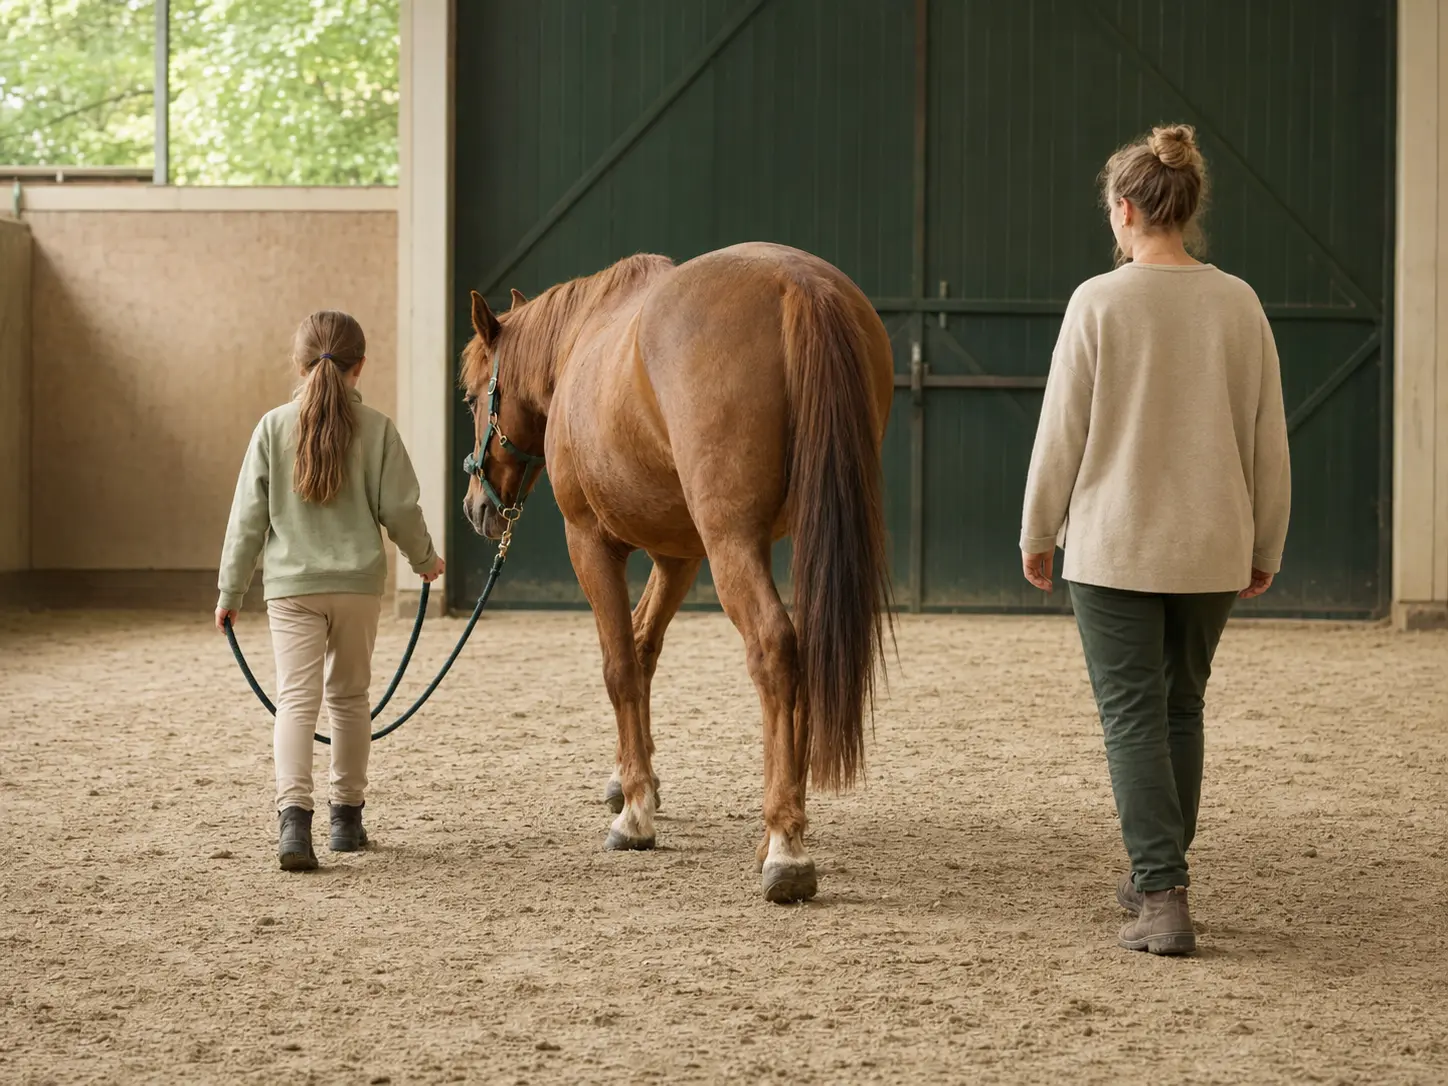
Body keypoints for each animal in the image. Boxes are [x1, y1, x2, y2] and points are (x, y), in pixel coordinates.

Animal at [459, 242, 894, 903]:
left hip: (732, 542)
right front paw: (631, 780)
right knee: (806, 650)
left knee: (774, 647)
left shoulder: (591, 543)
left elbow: (618, 665)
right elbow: (642, 649)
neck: (582, 339)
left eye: (470, 394)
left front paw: (635, 812)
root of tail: (797, 283)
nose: (476, 507)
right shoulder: (679, 555)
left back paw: (785, 847)